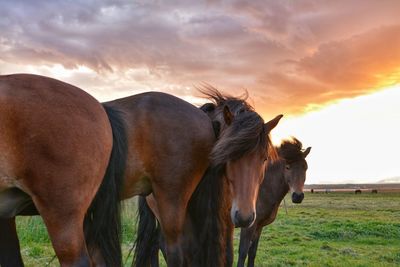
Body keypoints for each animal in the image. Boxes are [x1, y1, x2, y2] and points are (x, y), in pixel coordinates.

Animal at [236, 138, 310, 267]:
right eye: (287, 167)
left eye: (305, 167)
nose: (298, 196)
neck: (260, 190)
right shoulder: (248, 227)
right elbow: (243, 253)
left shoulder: (259, 227)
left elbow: (252, 252)